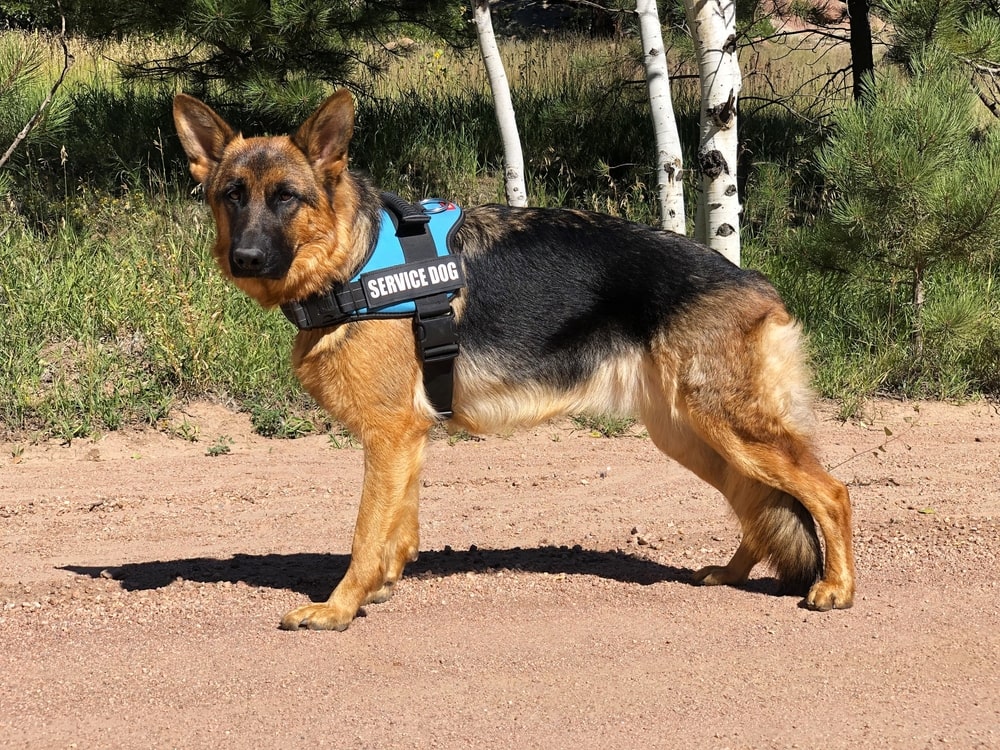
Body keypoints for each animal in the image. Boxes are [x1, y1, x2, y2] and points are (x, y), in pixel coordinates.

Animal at [170, 91, 852, 632]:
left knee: (829, 491)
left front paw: (338, 609)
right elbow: (398, 529)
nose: (246, 258)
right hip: (694, 436)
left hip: (728, 428)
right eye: (233, 196)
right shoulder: (406, 440)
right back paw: (731, 574)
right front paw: (381, 588)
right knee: (758, 500)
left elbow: (365, 534)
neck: (354, 259)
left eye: (286, 198)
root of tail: (756, 283)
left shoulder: (390, 436)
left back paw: (837, 589)